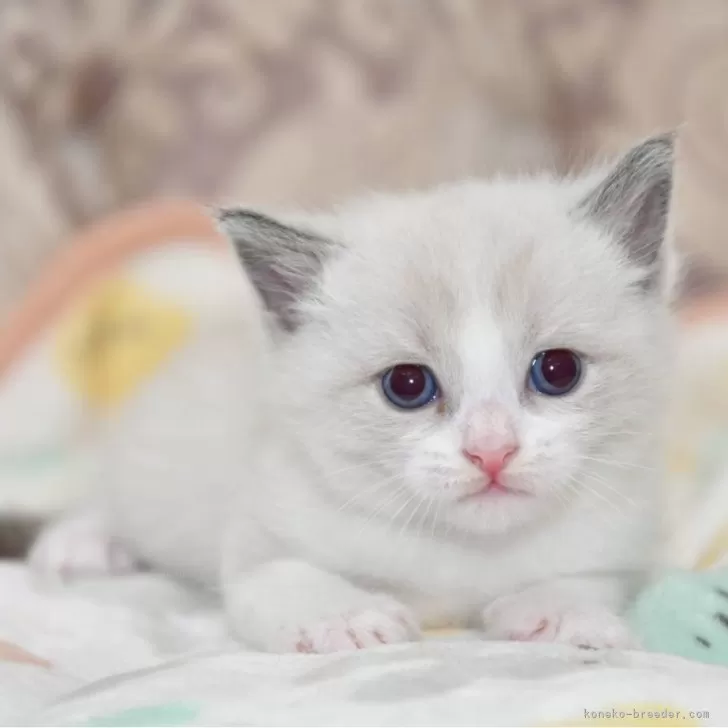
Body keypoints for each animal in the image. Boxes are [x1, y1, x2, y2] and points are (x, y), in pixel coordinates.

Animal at [29, 135, 676, 656]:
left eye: (558, 371)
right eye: (407, 385)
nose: (491, 450)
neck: (466, 553)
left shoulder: (615, 546)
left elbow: (584, 582)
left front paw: (562, 614)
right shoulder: (261, 539)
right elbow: (289, 577)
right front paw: (347, 619)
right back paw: (79, 544)